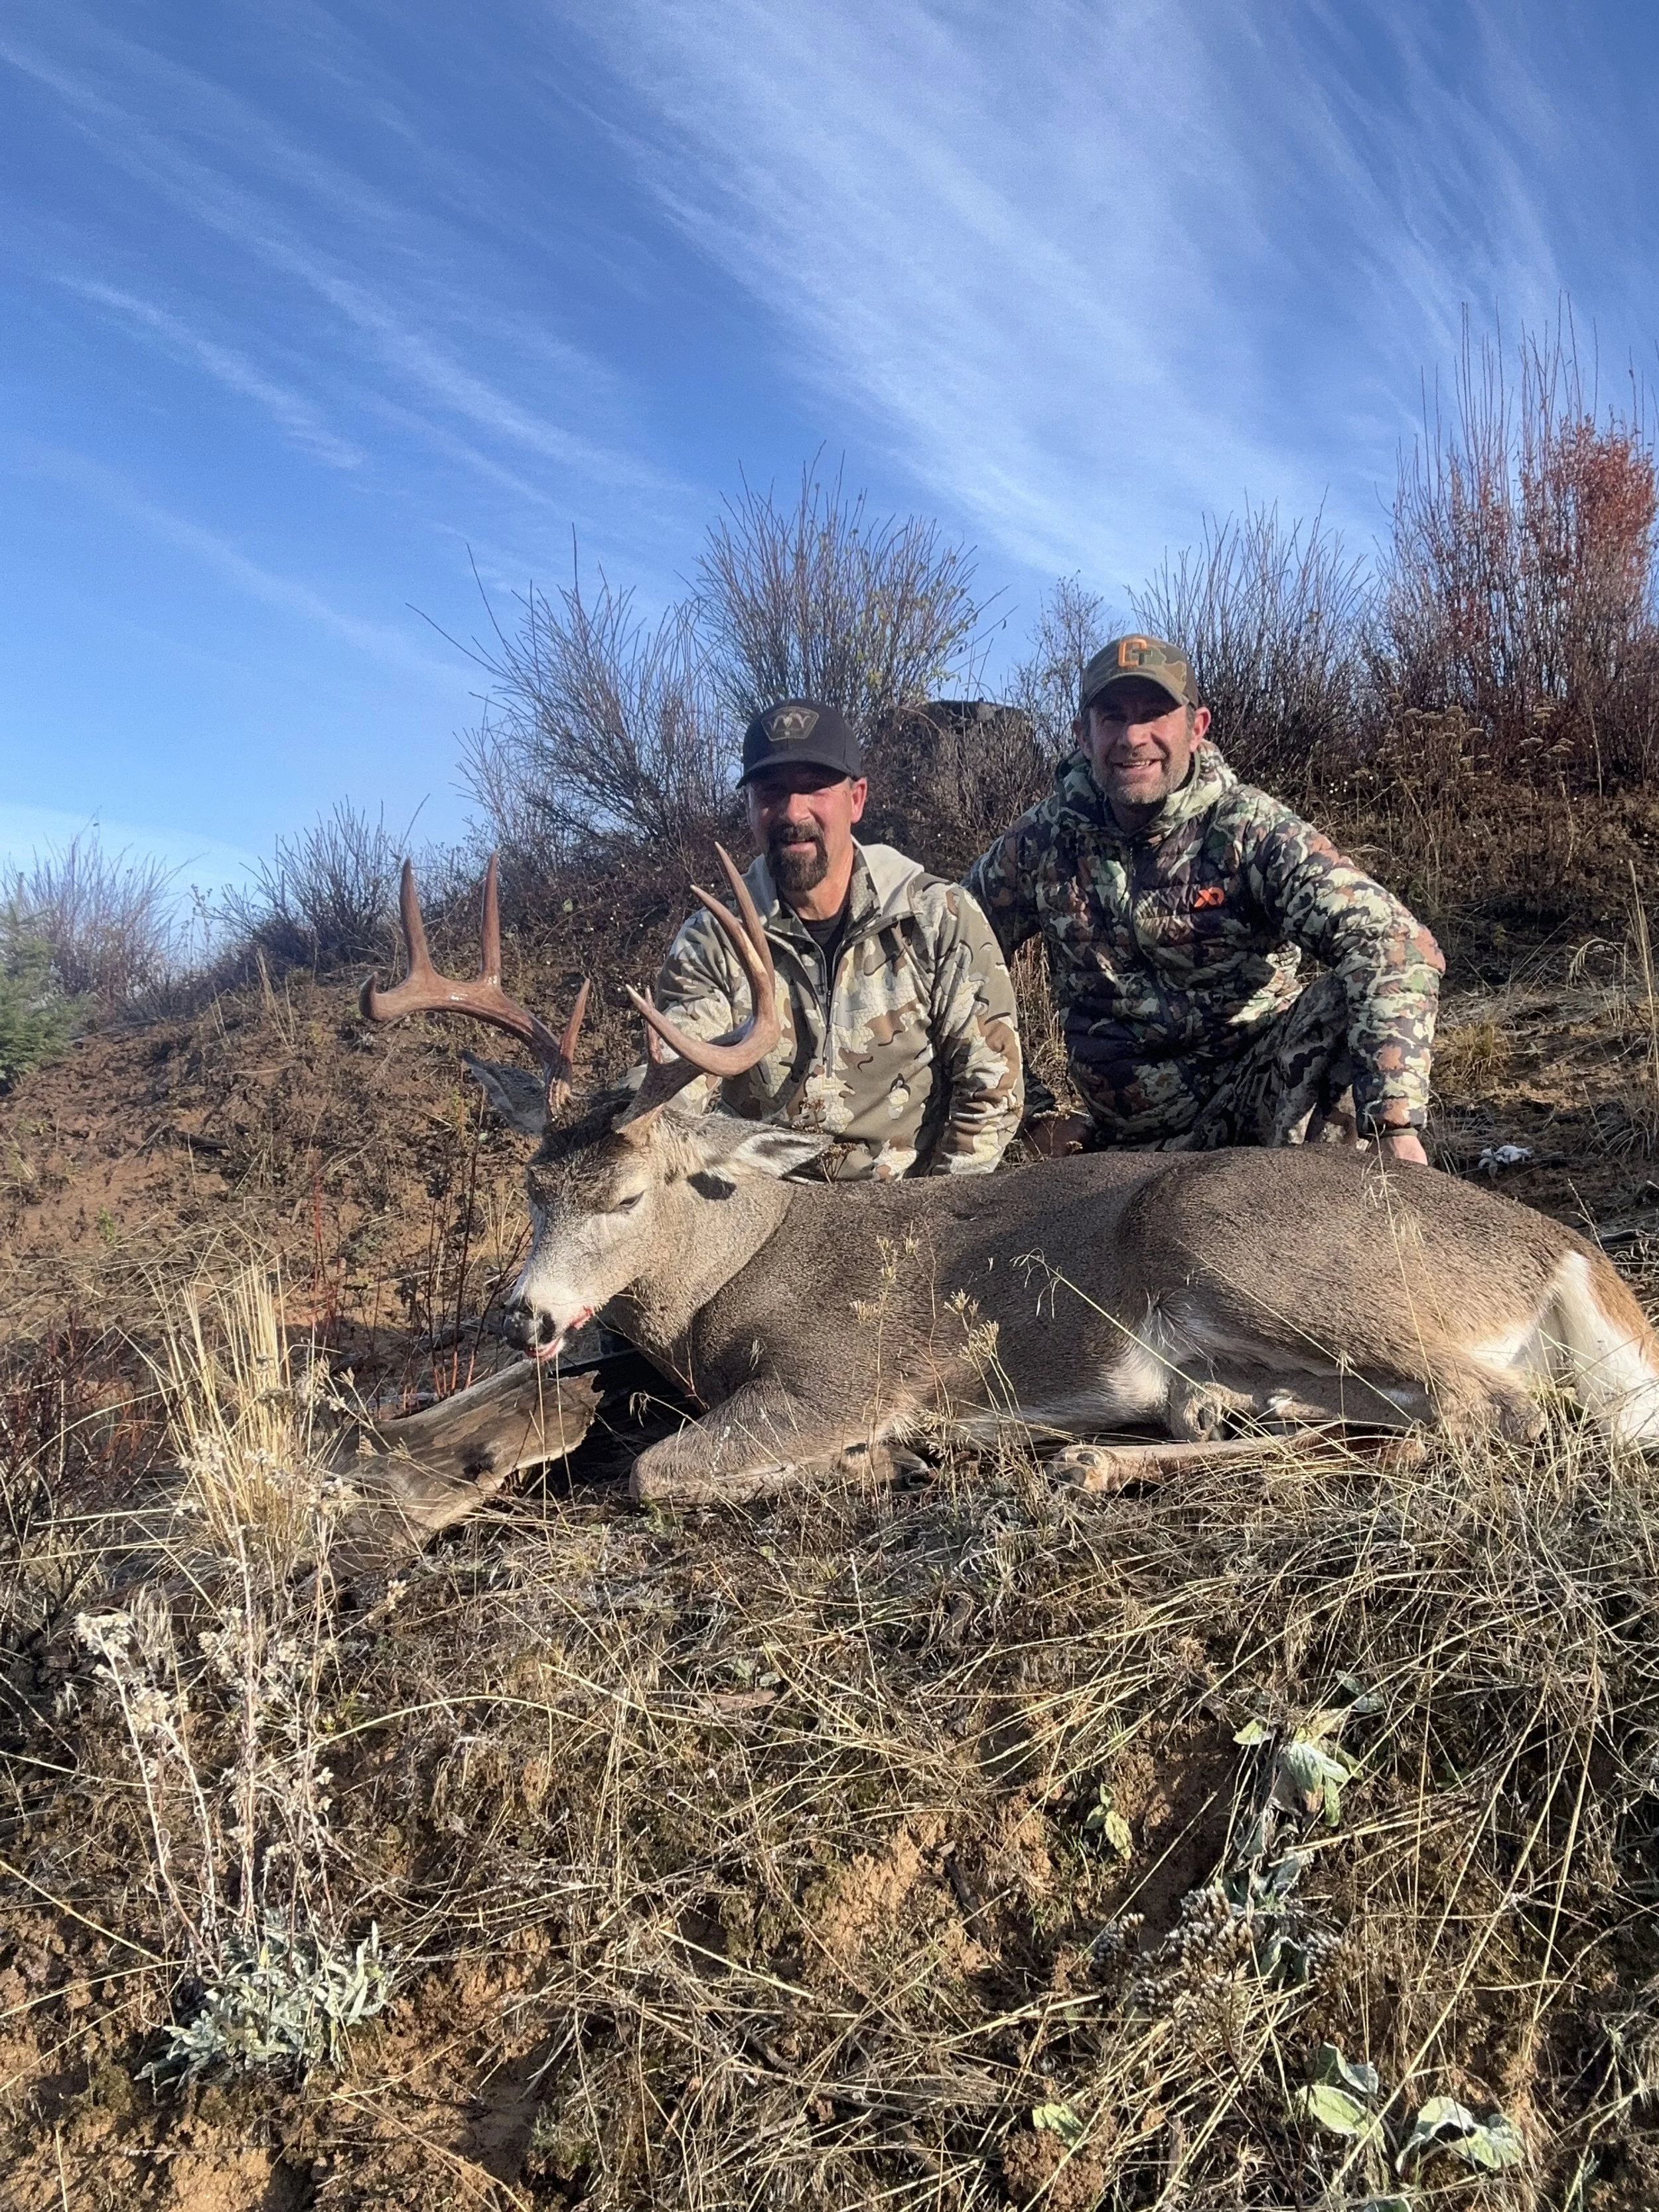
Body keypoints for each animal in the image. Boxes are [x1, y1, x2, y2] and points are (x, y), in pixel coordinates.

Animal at [358, 851, 1659, 1504]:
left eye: (628, 1197)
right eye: (531, 1188)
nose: (522, 1316)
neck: (730, 1275)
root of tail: (1572, 1257)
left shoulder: (837, 1370)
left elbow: (659, 1471)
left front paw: (880, 1456)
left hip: (1239, 1238)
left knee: (1491, 1411)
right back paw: (1110, 1450)